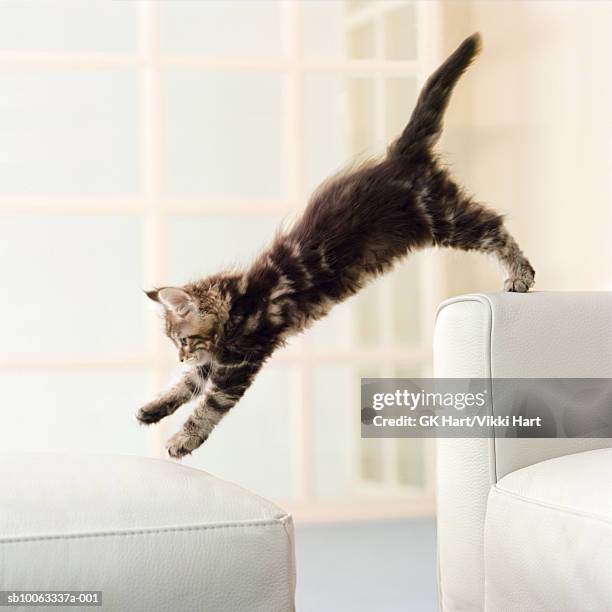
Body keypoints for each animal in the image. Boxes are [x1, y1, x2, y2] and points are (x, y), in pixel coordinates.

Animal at [139, 31, 536, 456]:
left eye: (183, 339)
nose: (180, 355)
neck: (238, 301)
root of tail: (400, 156)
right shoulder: (217, 358)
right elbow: (186, 385)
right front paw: (153, 408)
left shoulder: (241, 360)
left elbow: (209, 405)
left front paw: (183, 439)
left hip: (442, 217)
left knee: (495, 226)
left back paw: (521, 275)